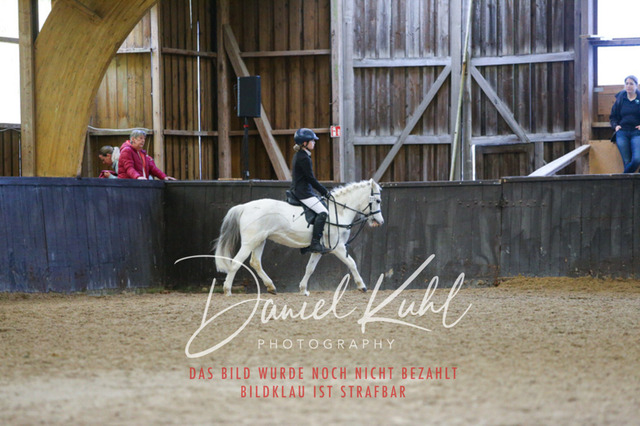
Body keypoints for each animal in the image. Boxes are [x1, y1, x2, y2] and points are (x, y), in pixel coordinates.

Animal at [213, 179, 384, 296]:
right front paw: (362, 286)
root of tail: (244, 207)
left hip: (260, 241)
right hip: (250, 243)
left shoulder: (319, 249)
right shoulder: (338, 247)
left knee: (255, 263)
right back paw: (227, 290)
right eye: (377, 200)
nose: (380, 222)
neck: (339, 212)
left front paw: (303, 289)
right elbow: (352, 263)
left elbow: (310, 268)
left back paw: (271, 287)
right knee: (236, 262)